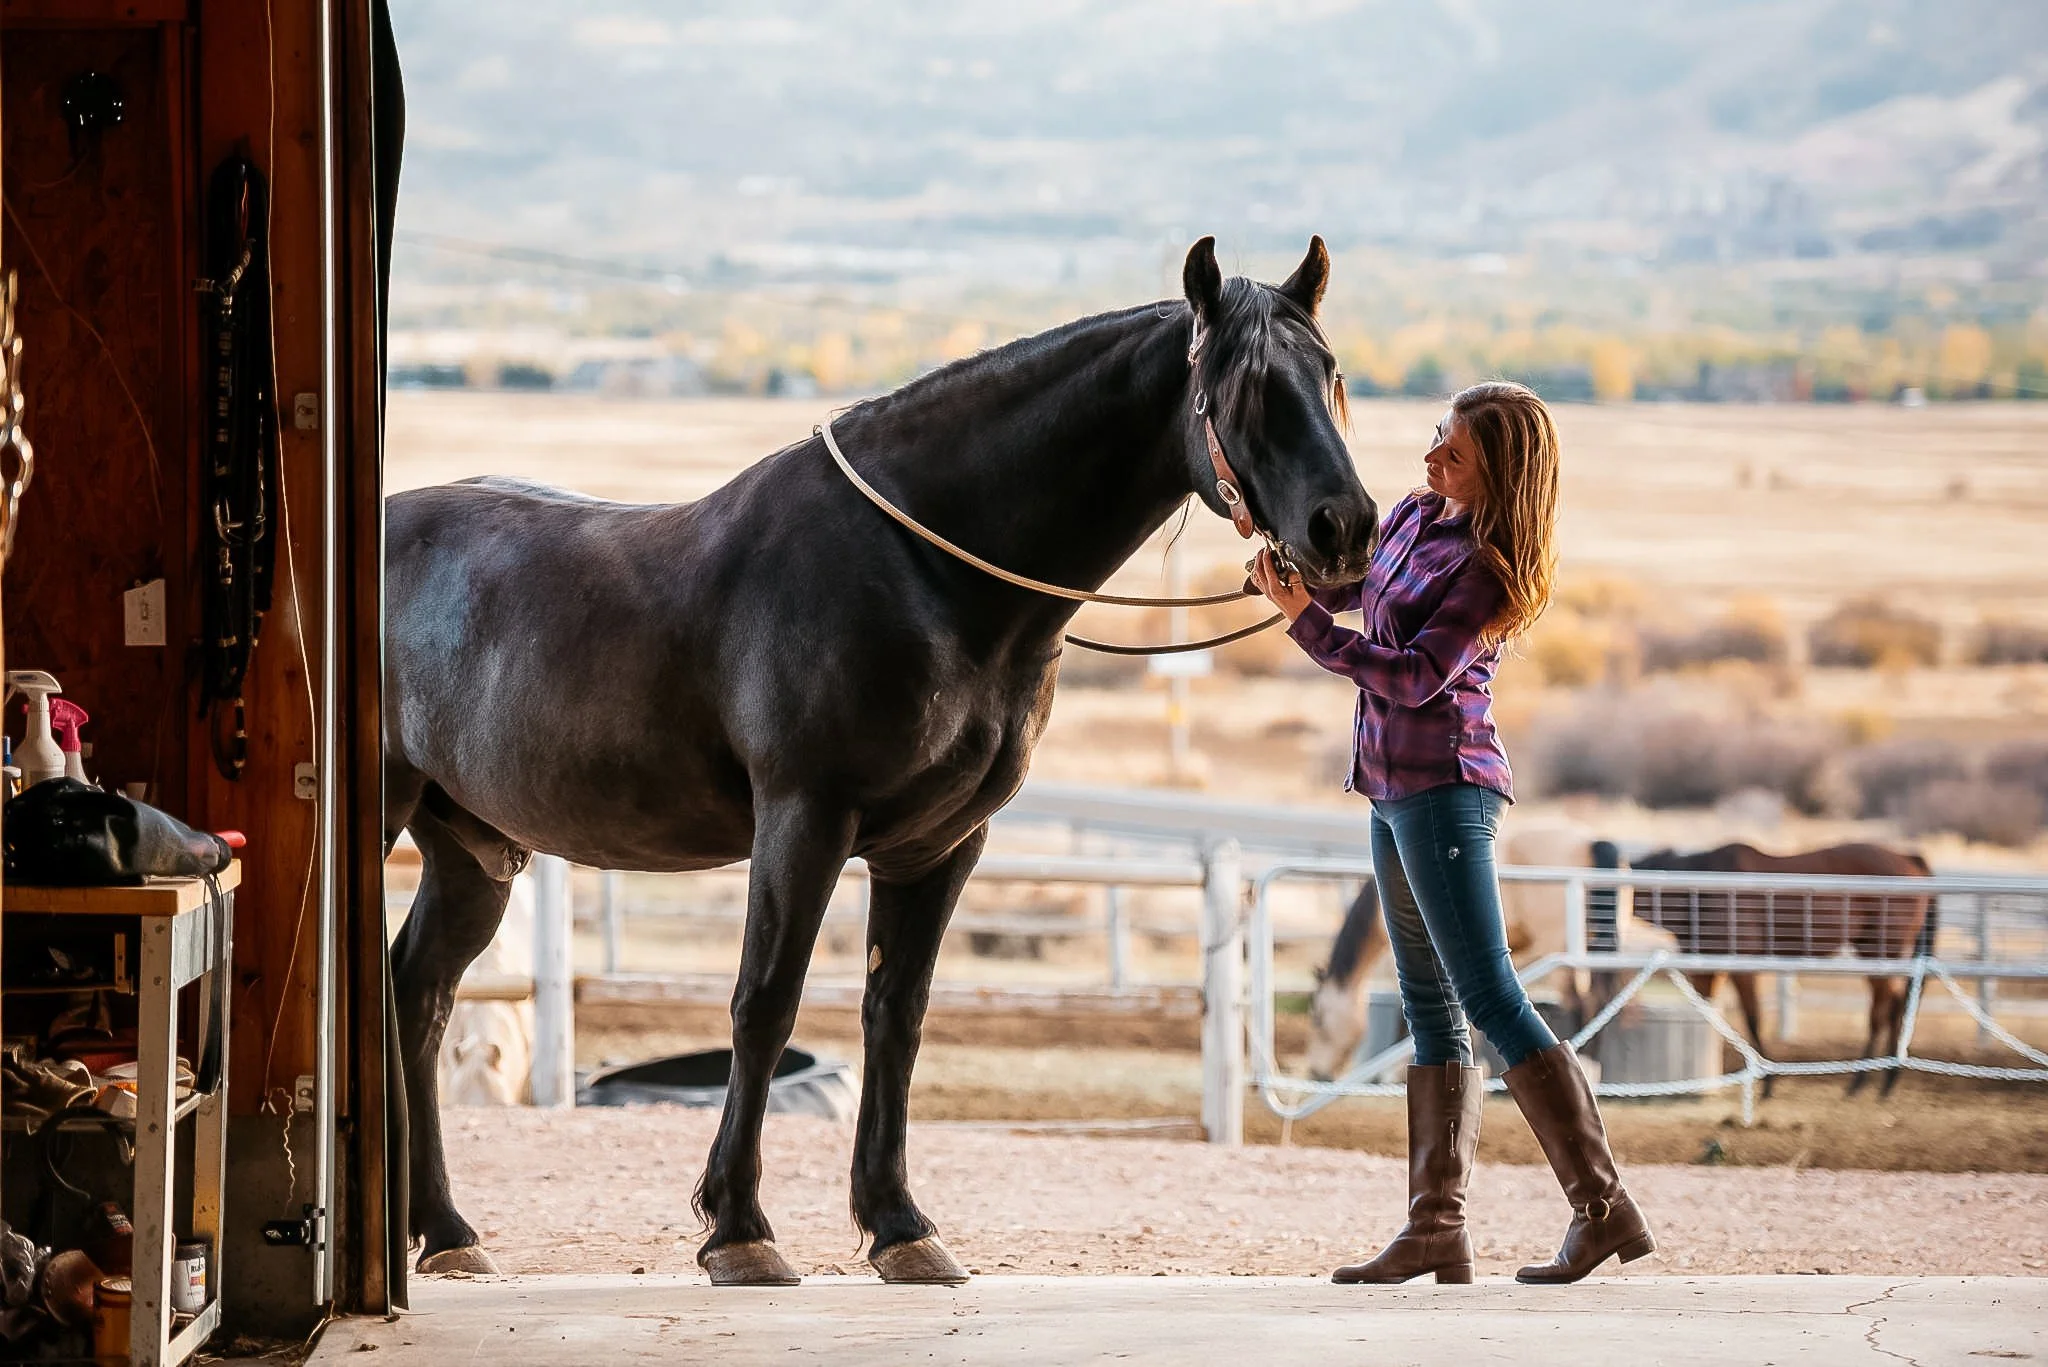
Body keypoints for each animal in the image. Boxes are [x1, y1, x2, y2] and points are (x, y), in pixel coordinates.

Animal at [383, 237, 1378, 1282]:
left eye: (1330, 372)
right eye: (1248, 387)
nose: (1345, 529)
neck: (925, 572)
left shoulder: (939, 845)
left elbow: (895, 1016)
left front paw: (900, 1225)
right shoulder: (804, 819)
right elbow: (766, 1005)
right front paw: (739, 1230)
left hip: (474, 850)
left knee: (420, 995)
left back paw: (445, 1229)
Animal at [1628, 843, 1936, 1098]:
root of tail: (1910, 858)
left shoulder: (1741, 967)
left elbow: (1753, 1018)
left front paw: (1767, 1084)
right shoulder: (1708, 968)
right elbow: (1708, 1013)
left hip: (1879, 953)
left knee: (1884, 1010)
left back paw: (1865, 1082)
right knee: (1894, 1006)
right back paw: (1885, 1080)